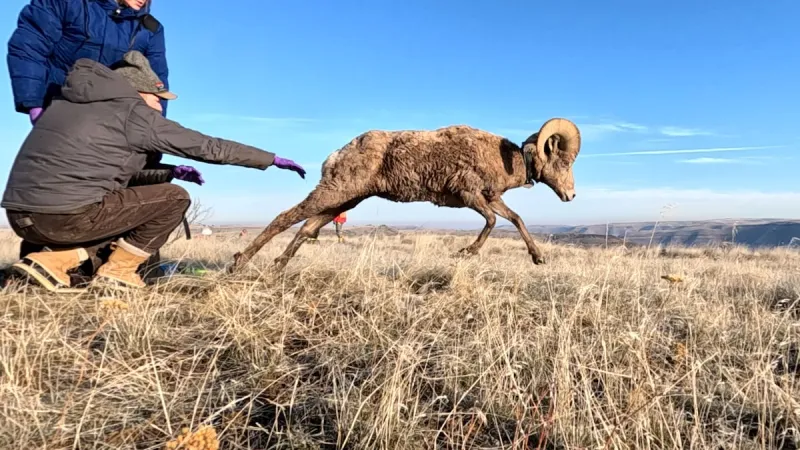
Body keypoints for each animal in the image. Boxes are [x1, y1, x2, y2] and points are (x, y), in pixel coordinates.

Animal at [229, 117, 581, 272]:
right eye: (564, 161)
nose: (571, 195)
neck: (502, 158)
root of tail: (336, 155)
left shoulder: (491, 198)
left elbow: (516, 220)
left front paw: (538, 257)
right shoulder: (471, 196)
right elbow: (493, 222)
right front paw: (465, 253)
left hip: (344, 200)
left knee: (307, 227)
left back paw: (279, 264)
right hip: (334, 192)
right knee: (286, 217)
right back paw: (240, 261)